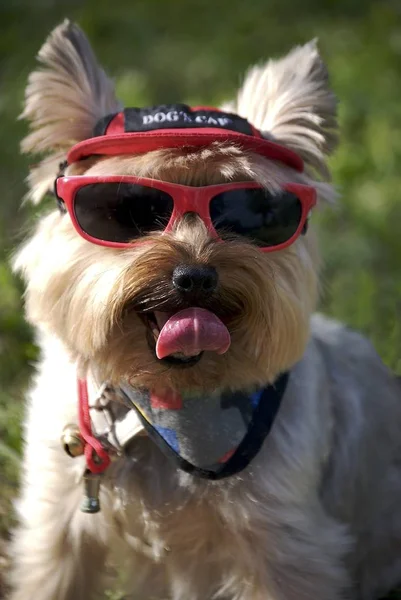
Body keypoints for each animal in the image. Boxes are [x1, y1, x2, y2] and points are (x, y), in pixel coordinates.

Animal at [7, 18, 400, 600]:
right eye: (129, 211)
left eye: (253, 215)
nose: (194, 274)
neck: (168, 403)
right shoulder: (57, 523)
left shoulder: (285, 546)